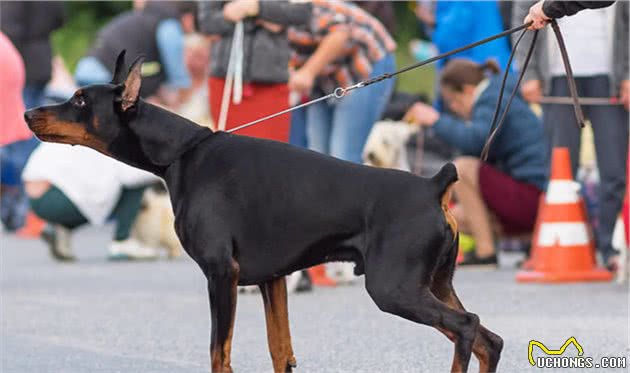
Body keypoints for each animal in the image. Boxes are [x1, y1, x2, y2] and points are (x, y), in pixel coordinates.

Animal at [25, 51, 504, 372]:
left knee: (467, 327)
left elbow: (219, 352)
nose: (29, 113)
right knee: (490, 340)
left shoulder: (222, 273)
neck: (181, 153)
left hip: (394, 287)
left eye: (80, 101)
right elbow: (280, 350)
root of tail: (432, 184)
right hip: (434, 283)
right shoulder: (273, 279)